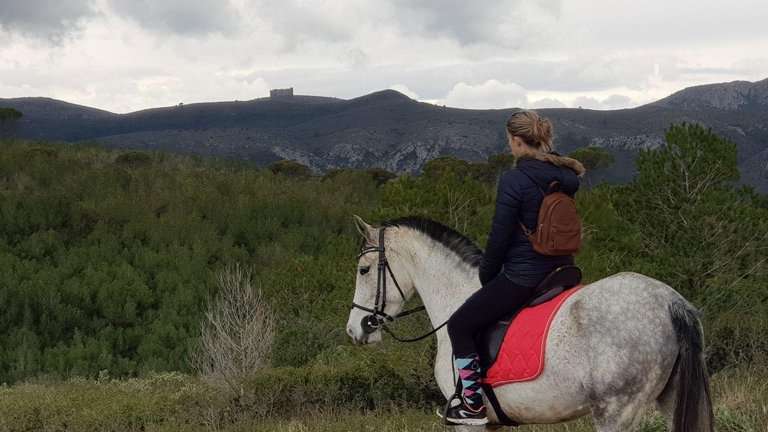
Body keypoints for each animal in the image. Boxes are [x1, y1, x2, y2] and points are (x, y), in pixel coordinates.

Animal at [344, 216, 712, 432]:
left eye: (364, 269)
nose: (355, 328)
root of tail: (670, 301)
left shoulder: (470, 425)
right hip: (669, 398)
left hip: (616, 413)